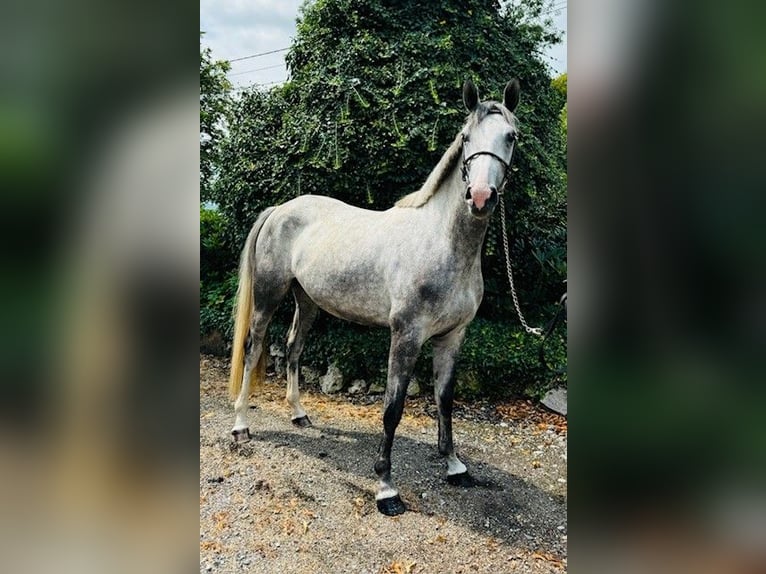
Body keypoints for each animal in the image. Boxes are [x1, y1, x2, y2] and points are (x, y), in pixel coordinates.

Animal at [230, 77, 520, 516]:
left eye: (511, 136)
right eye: (466, 137)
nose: (481, 196)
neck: (442, 243)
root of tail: (280, 209)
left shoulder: (453, 337)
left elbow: (445, 399)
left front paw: (455, 466)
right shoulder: (405, 335)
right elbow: (392, 409)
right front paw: (386, 488)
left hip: (307, 301)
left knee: (294, 347)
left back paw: (299, 415)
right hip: (269, 295)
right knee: (253, 348)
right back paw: (241, 425)